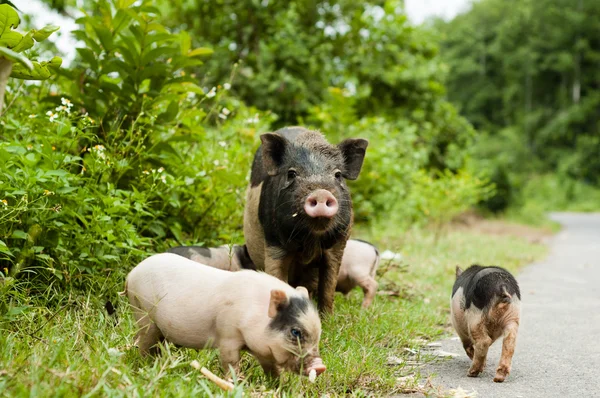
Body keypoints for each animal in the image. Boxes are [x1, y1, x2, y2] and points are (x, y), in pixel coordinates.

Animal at [123, 253, 326, 378]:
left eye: (318, 334)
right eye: (295, 332)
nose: (320, 365)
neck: (253, 311)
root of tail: (131, 273)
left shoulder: (263, 348)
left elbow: (272, 369)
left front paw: (278, 386)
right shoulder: (228, 335)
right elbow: (230, 362)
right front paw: (235, 382)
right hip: (143, 312)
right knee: (145, 342)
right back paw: (145, 365)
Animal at [243, 126, 366, 316]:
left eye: (338, 175)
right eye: (292, 173)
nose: (321, 193)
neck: (310, 242)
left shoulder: (337, 244)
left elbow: (329, 285)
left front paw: (327, 318)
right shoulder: (273, 242)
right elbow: (276, 276)